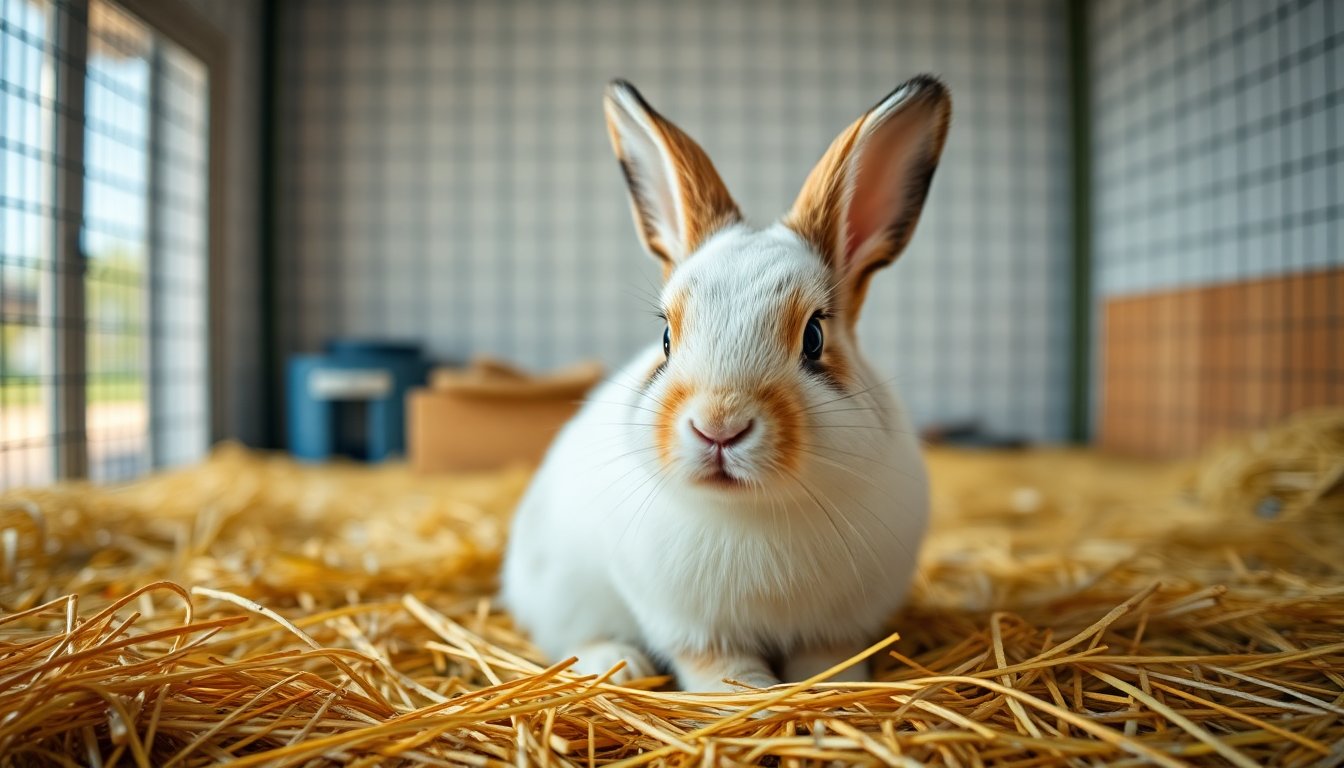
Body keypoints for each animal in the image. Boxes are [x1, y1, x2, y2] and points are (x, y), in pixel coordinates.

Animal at [501, 75, 951, 692]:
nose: (718, 427)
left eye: (814, 338)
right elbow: (723, 669)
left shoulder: (836, 627)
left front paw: (836, 690)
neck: (752, 512)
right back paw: (618, 665)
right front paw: (751, 695)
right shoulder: (695, 629)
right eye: (666, 338)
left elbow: (829, 660)